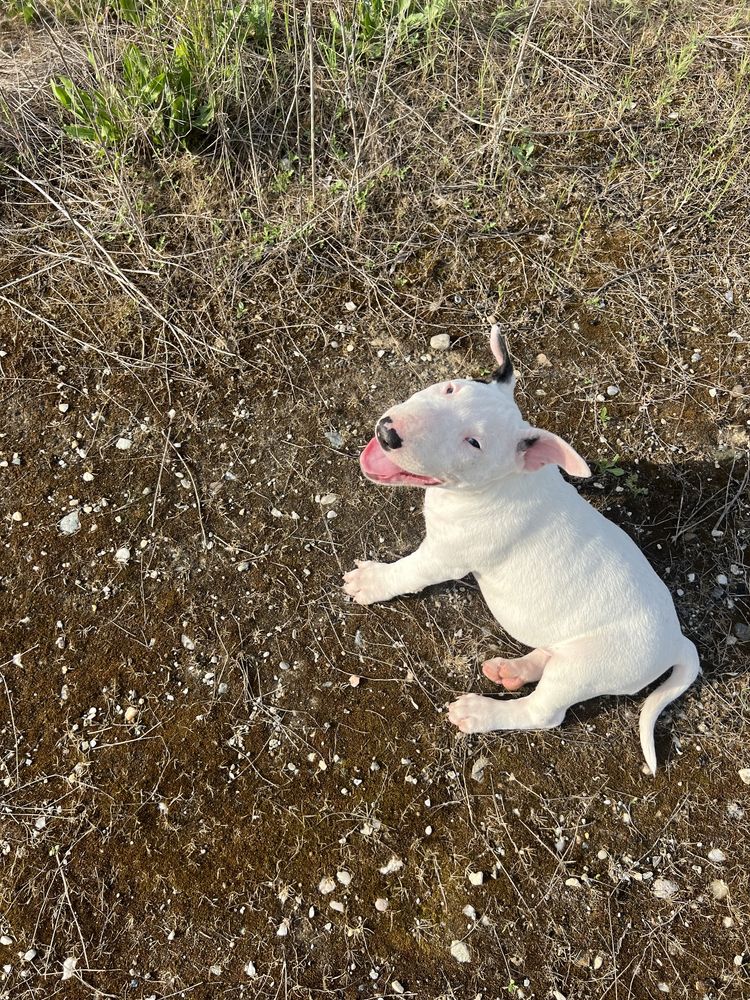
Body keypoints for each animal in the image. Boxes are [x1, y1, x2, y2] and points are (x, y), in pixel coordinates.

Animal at [344, 328, 704, 772]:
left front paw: (370, 581)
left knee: (544, 712)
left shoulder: (446, 556)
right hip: (569, 647)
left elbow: (407, 572)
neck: (499, 483)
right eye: (449, 388)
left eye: (474, 443)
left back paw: (479, 711)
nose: (388, 433)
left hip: (590, 665)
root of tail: (677, 640)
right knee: (547, 656)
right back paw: (512, 670)